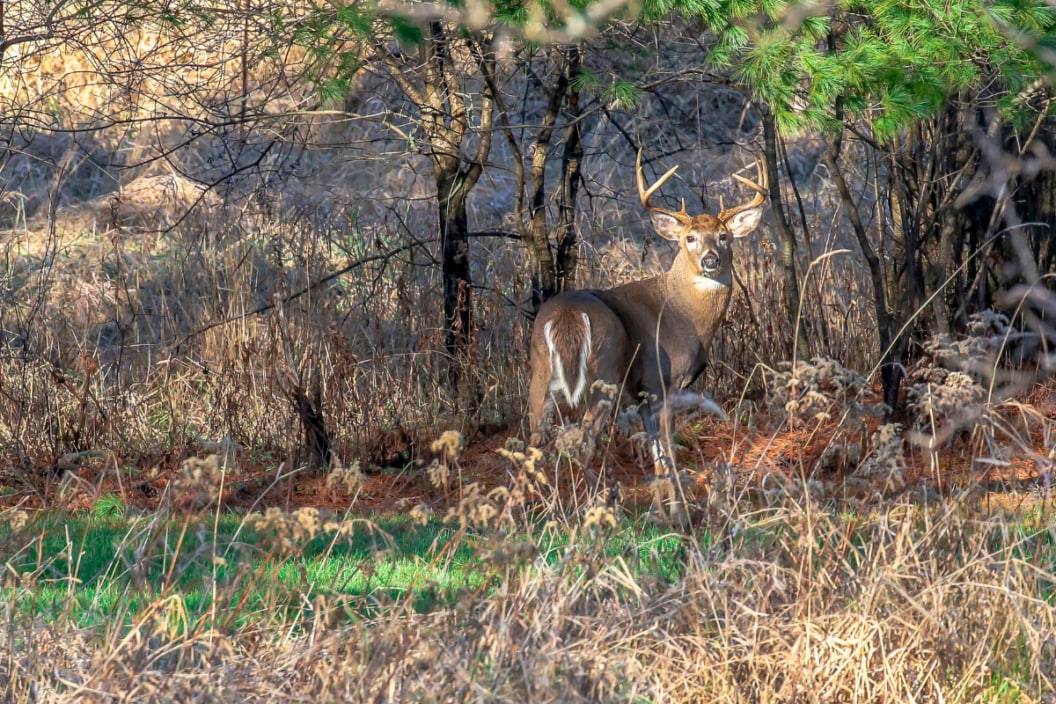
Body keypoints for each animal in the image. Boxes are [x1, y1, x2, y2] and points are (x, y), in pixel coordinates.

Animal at [528, 153, 768, 472]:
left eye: (723, 236)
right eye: (690, 238)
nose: (710, 260)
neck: (685, 315)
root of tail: (568, 316)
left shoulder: (643, 398)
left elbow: (658, 456)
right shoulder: (662, 382)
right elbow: (668, 450)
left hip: (541, 370)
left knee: (533, 440)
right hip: (605, 371)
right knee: (585, 441)